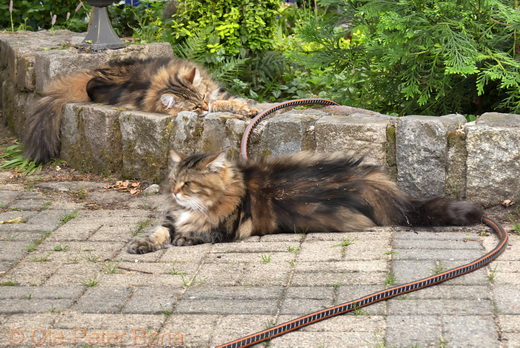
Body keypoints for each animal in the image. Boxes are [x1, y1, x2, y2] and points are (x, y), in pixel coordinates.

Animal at [22, 56, 258, 163]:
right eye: (195, 107)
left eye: (203, 97)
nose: (205, 106)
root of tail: (94, 74)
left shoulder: (216, 94)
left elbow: (230, 101)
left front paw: (248, 109)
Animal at [127, 150, 484, 253]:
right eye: (174, 180)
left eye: (188, 184)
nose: (174, 192)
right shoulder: (170, 219)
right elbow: (159, 231)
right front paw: (142, 244)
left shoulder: (224, 229)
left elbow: (198, 233)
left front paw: (185, 238)